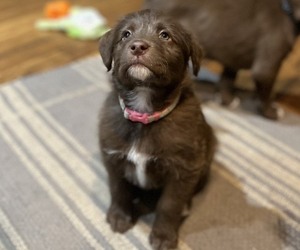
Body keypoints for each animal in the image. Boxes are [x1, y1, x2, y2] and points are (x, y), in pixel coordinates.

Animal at [99, 9, 216, 250]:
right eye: (126, 35)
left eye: (165, 35)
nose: (137, 46)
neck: (144, 114)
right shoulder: (112, 158)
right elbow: (118, 189)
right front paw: (119, 217)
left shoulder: (183, 169)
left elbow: (169, 205)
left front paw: (163, 236)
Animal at [145, 0, 300, 119]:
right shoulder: (266, 66)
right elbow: (266, 91)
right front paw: (271, 112)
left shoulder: (233, 58)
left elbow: (227, 79)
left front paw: (227, 100)